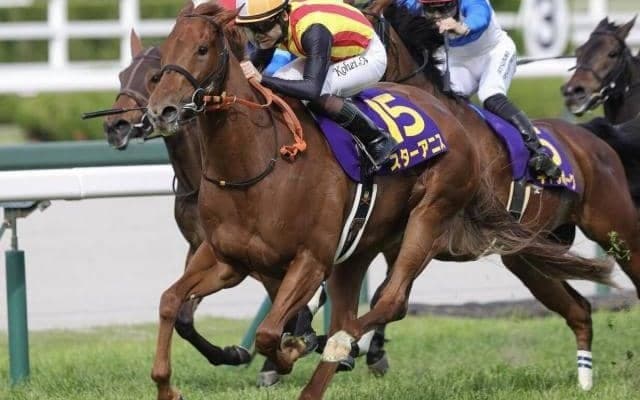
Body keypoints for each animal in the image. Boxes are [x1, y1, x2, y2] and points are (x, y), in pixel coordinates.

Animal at [144, 3, 626, 400]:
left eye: (202, 49)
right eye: (164, 52)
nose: (161, 111)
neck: (258, 163)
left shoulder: (310, 259)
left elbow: (269, 332)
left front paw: (291, 349)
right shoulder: (227, 259)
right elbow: (170, 302)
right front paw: (169, 386)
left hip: (431, 217)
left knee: (388, 302)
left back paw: (338, 346)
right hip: (389, 250)